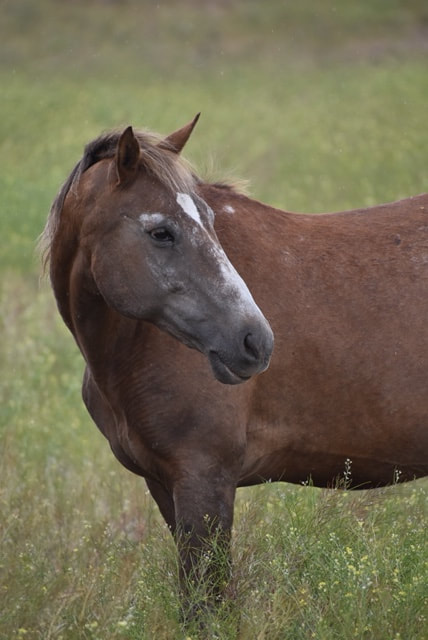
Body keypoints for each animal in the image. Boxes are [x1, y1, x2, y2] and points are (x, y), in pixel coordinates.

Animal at [41, 114, 428, 613]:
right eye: (161, 232)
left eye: (209, 221)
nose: (255, 341)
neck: (132, 346)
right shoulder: (166, 485)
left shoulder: (205, 481)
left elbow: (208, 606)